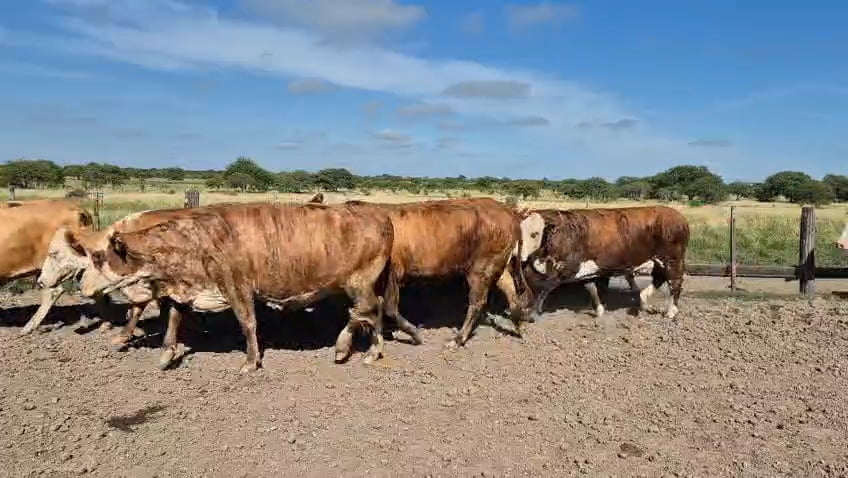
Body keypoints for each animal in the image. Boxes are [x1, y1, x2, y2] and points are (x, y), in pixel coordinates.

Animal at [69, 201, 397, 372]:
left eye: (97, 256)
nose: (80, 283)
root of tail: (378, 212)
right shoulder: (184, 288)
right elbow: (173, 318)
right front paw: (166, 353)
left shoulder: (237, 286)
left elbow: (247, 323)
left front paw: (251, 362)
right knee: (373, 311)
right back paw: (371, 350)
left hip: (359, 281)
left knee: (363, 311)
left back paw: (345, 347)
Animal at [337, 197, 530, 351]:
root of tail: (507, 211)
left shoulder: (391, 274)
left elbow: (389, 308)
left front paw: (414, 334)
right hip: (497, 265)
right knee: (512, 293)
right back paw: (518, 326)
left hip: (480, 269)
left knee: (477, 302)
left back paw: (458, 339)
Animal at [517, 206, 689, 320]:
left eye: (535, 233)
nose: (522, 253)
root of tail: (679, 216)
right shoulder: (586, 269)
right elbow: (592, 288)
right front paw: (599, 311)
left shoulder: (566, 268)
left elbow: (542, 288)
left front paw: (530, 313)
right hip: (658, 261)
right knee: (659, 278)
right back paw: (643, 301)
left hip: (672, 259)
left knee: (675, 281)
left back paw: (670, 311)